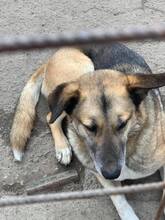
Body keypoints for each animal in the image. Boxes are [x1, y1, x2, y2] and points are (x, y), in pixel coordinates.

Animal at [9, 43, 165, 220]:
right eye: (90, 127)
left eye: (123, 124)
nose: (111, 174)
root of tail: (55, 54)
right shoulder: (101, 175)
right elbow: (119, 200)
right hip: (78, 77)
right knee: (51, 116)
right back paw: (63, 148)